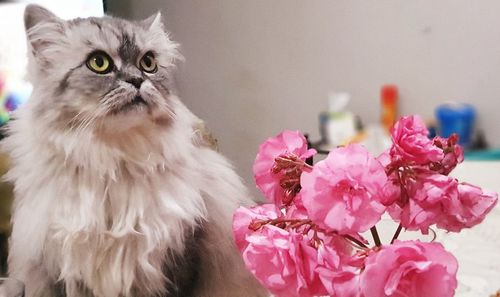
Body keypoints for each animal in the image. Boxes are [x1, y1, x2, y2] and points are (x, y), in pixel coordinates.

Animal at [1, 4, 268, 296]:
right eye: (99, 63)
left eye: (148, 63)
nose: (137, 80)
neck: (115, 161)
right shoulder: (64, 265)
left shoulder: (181, 253)